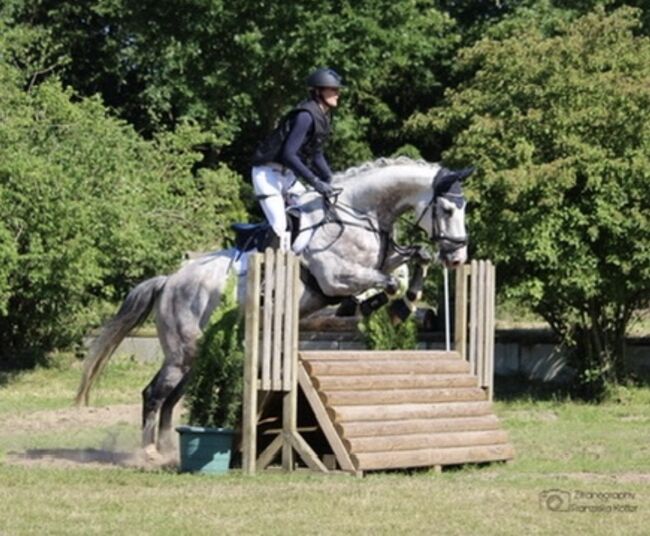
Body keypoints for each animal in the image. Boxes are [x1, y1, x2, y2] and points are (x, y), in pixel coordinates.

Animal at [76, 157, 470, 458]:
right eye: (447, 208)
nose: (457, 257)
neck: (361, 214)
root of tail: (170, 281)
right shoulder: (335, 278)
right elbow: (384, 282)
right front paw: (379, 306)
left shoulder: (384, 259)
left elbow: (411, 262)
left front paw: (409, 299)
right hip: (181, 351)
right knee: (155, 394)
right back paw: (149, 453)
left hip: (196, 354)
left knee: (171, 398)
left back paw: (169, 450)